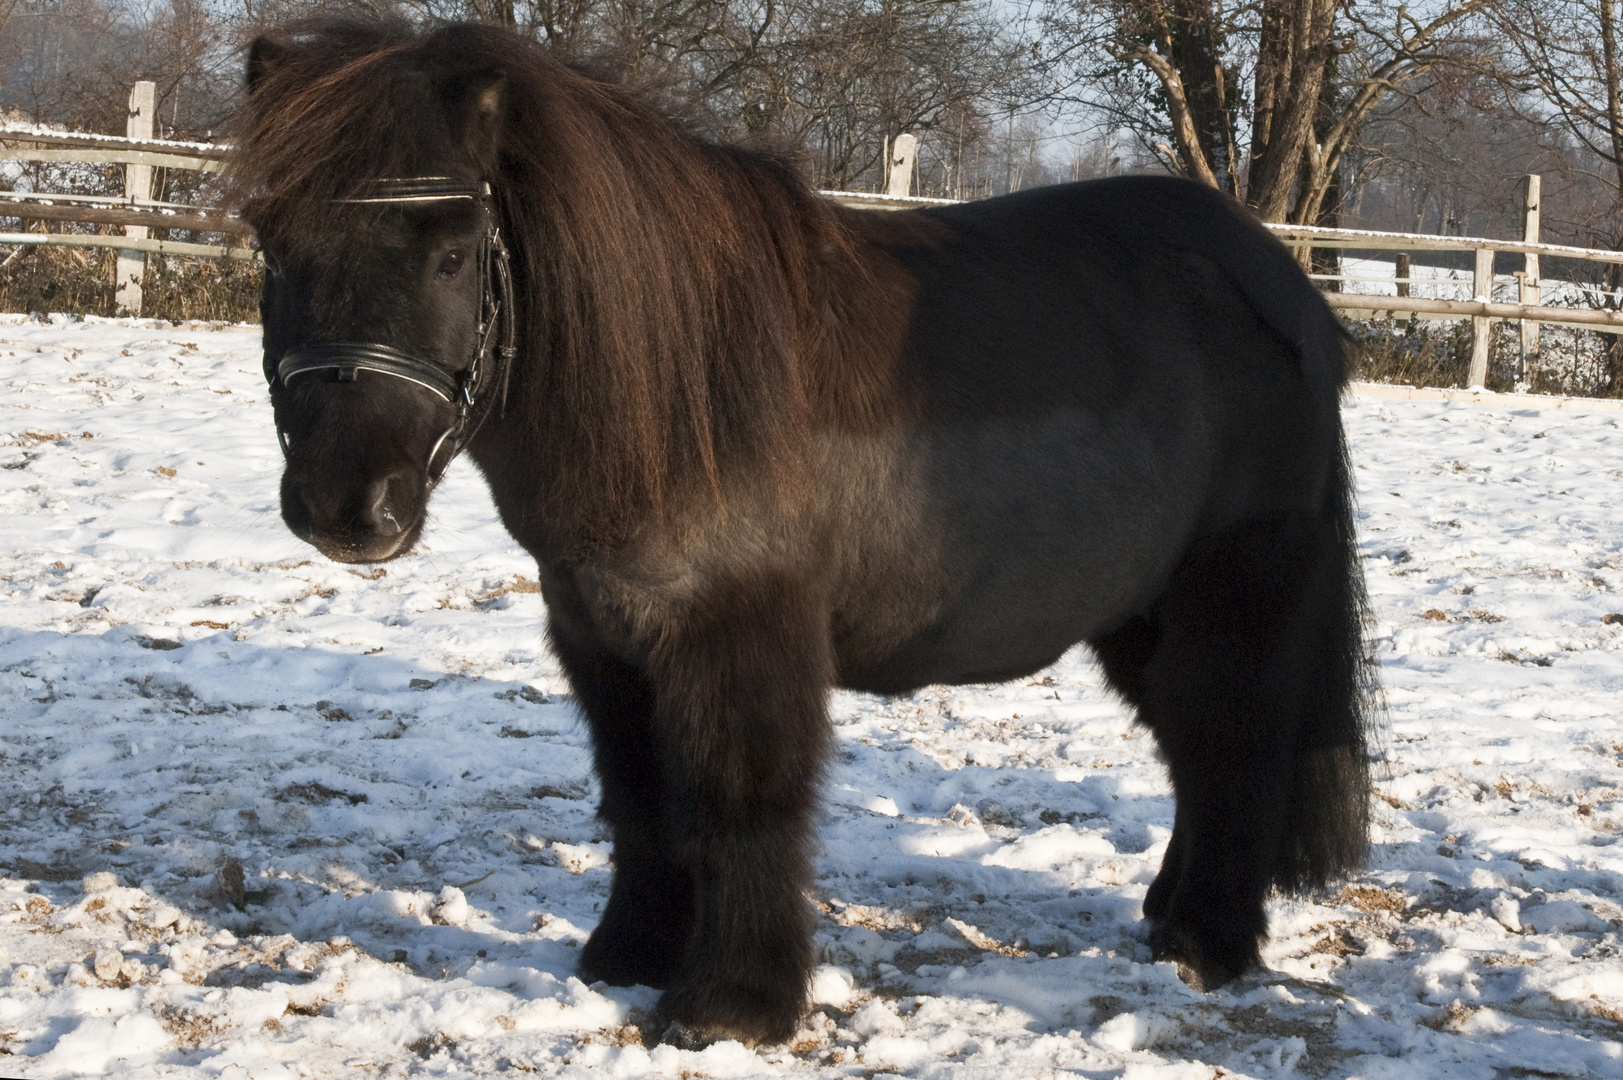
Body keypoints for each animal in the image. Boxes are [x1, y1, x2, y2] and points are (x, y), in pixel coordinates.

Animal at [228, 16, 1369, 1045]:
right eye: (273, 243)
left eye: (455, 255)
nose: (346, 504)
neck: (675, 388)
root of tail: (1282, 289)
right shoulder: (605, 638)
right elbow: (640, 798)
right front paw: (628, 956)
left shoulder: (740, 635)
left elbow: (742, 803)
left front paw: (732, 1005)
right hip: (1133, 610)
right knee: (1191, 747)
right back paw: (1168, 915)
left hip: (1233, 593)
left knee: (1234, 738)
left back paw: (1209, 943)